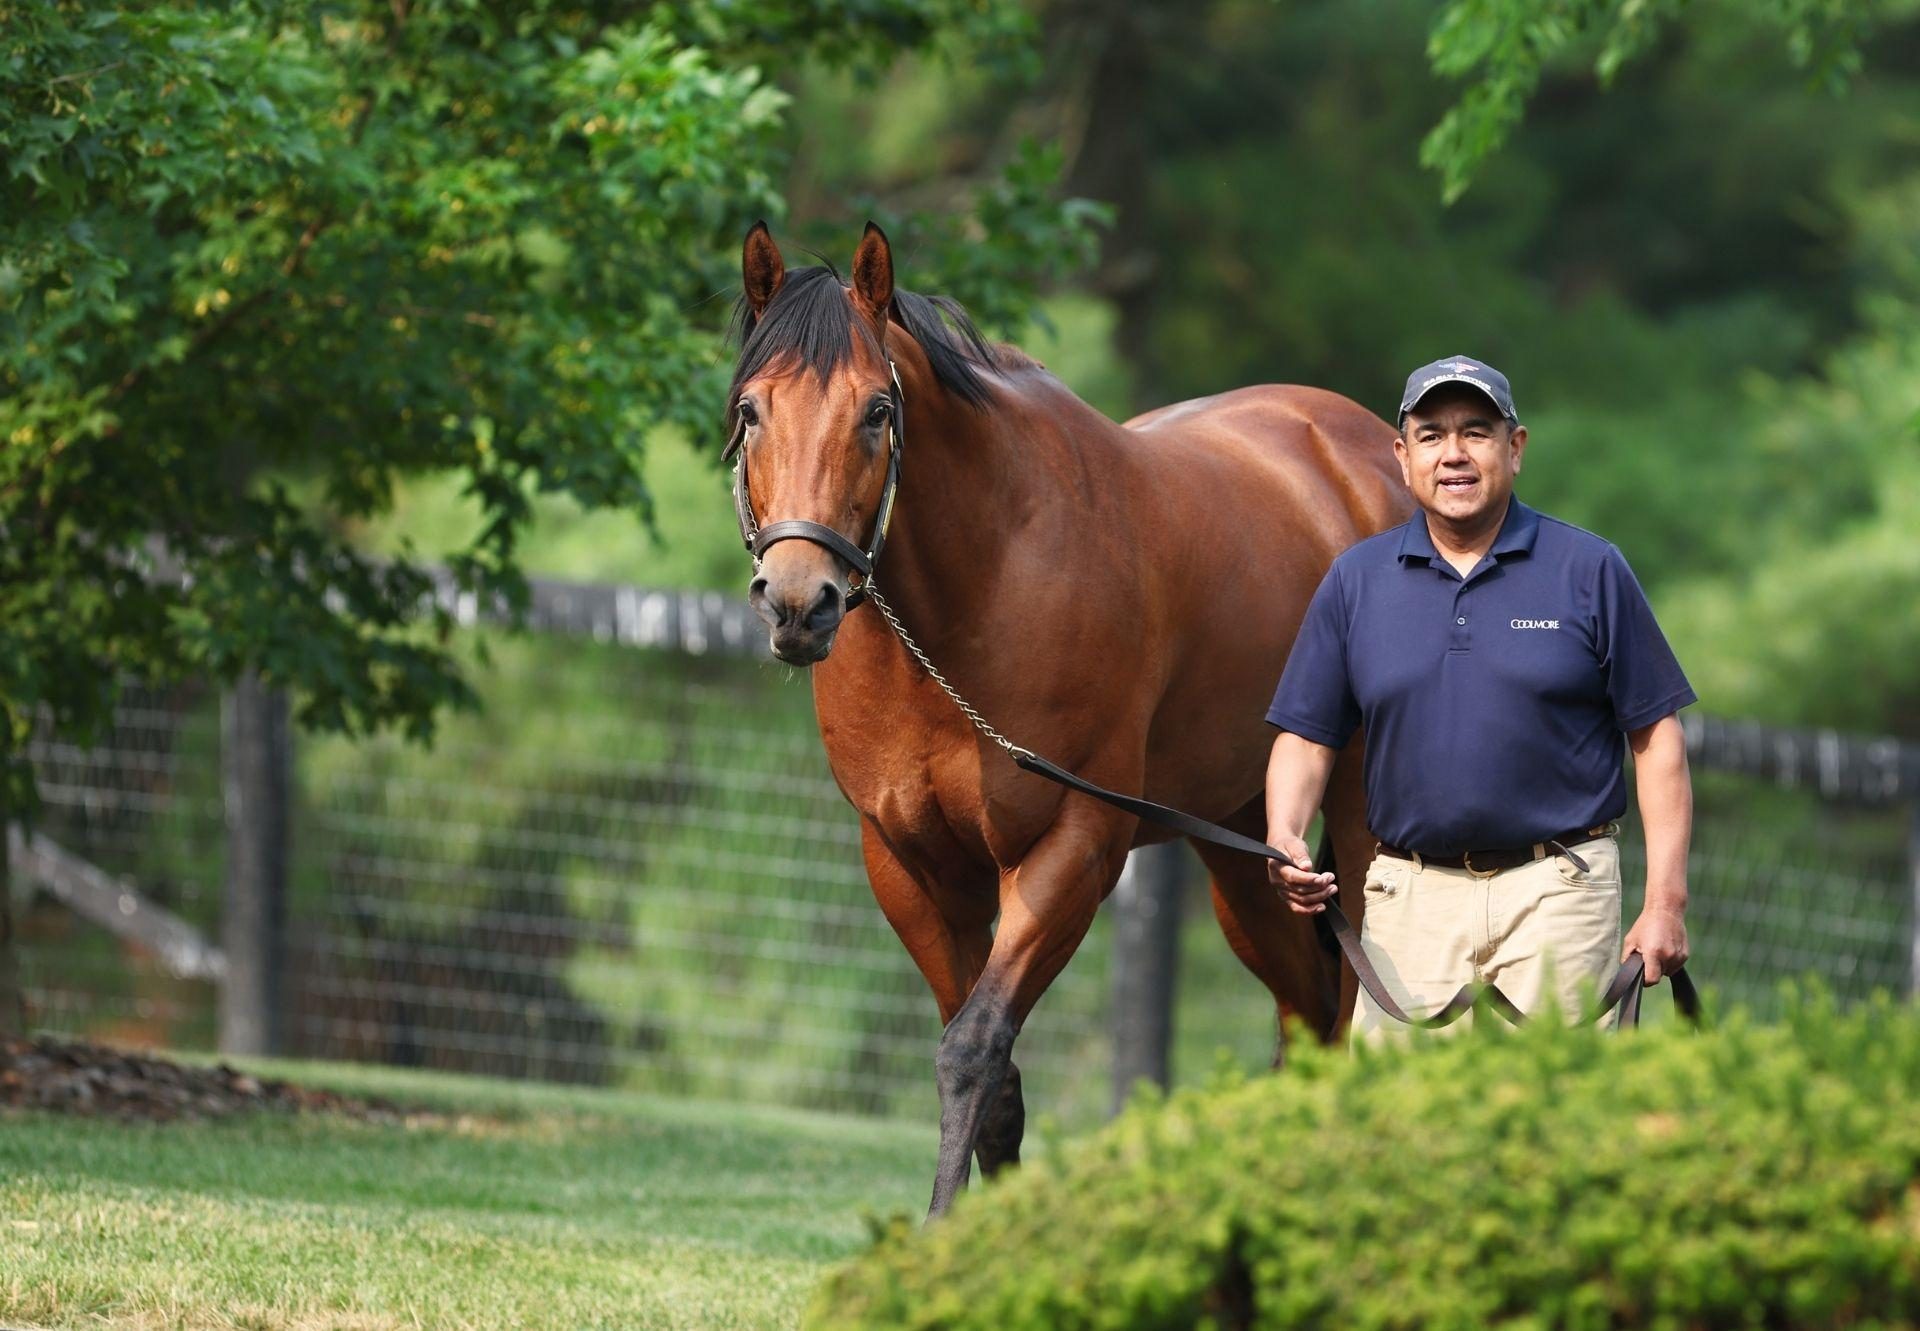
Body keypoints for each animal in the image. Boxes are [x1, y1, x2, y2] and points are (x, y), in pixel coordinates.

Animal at [725, 220, 1405, 1213]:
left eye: (878, 411)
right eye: (750, 411)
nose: (797, 602)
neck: (983, 583)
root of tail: (1372, 452)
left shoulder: (1072, 845)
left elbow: (971, 1049)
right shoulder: (909, 863)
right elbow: (995, 1076)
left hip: (1359, 835)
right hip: (1248, 850)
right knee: (1312, 1014)